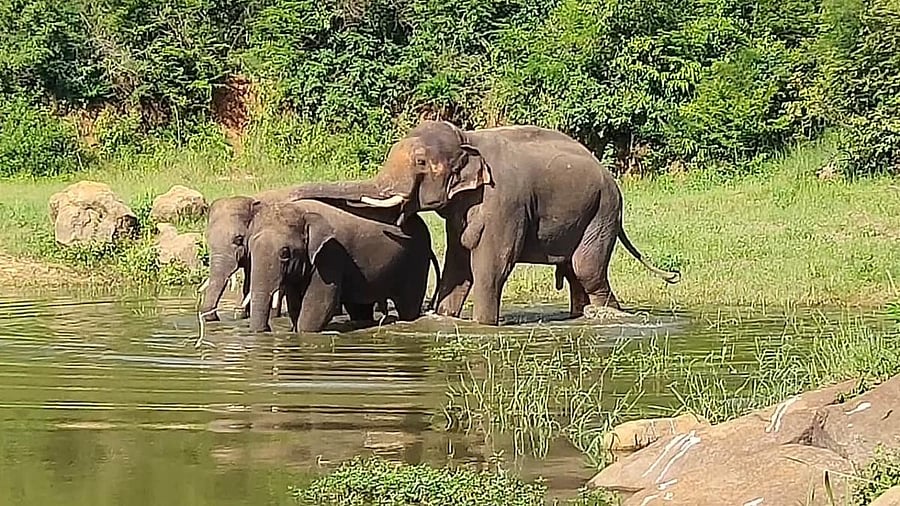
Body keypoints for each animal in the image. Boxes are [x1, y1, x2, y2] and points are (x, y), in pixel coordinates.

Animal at [246, 199, 440, 333]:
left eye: (285, 253)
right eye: (250, 250)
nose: (268, 329)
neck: (303, 212)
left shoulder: (330, 255)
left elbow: (321, 303)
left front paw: (301, 332)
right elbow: (295, 303)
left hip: (416, 260)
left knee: (408, 305)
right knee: (359, 307)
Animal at [276, 121, 681, 325]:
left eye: (420, 163)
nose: (281, 199)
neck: (465, 138)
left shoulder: (505, 201)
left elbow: (492, 263)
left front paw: (483, 327)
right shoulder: (463, 208)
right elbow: (458, 260)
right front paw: (443, 319)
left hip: (603, 211)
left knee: (587, 268)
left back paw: (608, 316)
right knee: (575, 273)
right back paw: (581, 316)